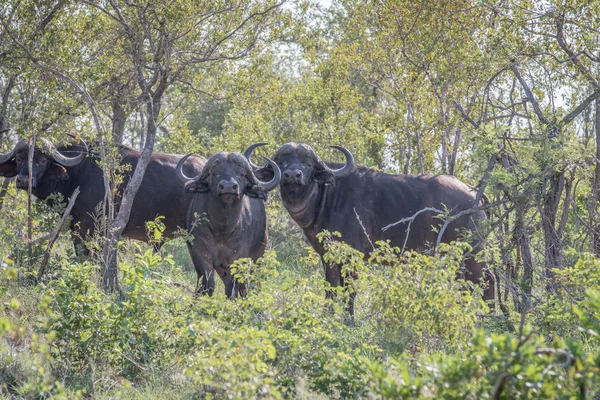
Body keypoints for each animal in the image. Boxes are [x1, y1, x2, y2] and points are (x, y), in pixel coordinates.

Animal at [175, 152, 280, 298]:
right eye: (215, 173)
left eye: (241, 174)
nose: (228, 187)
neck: (222, 229)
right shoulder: (199, 253)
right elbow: (207, 283)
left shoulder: (238, 257)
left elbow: (233, 287)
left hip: (258, 256)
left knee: (250, 283)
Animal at [246, 142, 494, 318]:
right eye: (282, 162)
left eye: (307, 164)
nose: (292, 175)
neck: (326, 196)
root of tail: (474, 194)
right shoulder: (328, 256)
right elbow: (331, 288)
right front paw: (329, 316)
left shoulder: (352, 256)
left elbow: (350, 290)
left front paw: (349, 320)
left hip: (471, 253)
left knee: (485, 281)